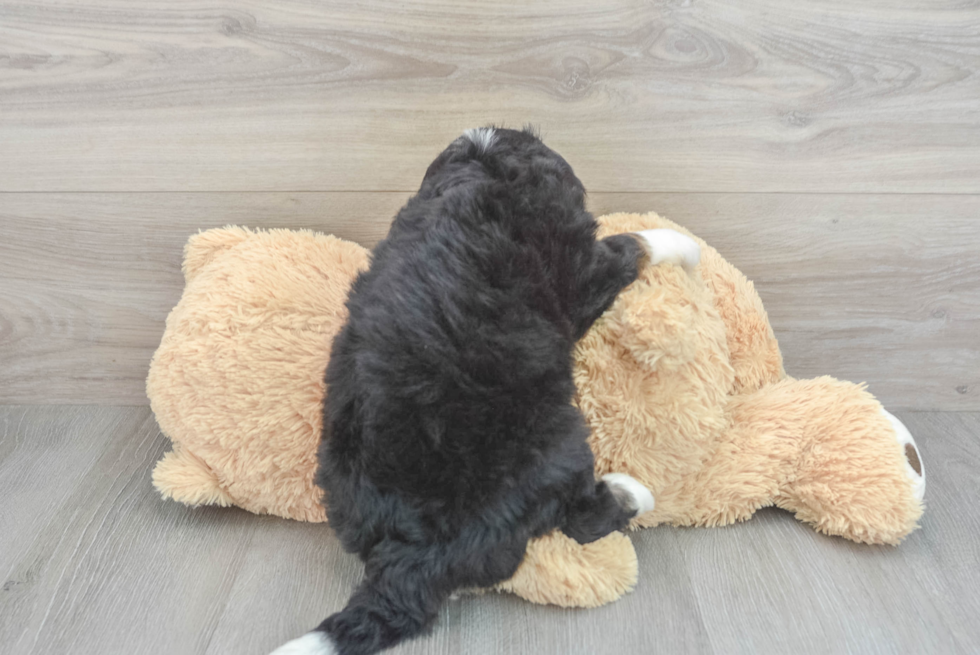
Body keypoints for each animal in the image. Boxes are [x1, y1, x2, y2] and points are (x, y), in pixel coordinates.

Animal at [270, 128, 696, 655]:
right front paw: (684, 244)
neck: (487, 169)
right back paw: (631, 491)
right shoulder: (582, 273)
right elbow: (633, 244)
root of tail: (423, 548)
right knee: (581, 517)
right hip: (558, 442)